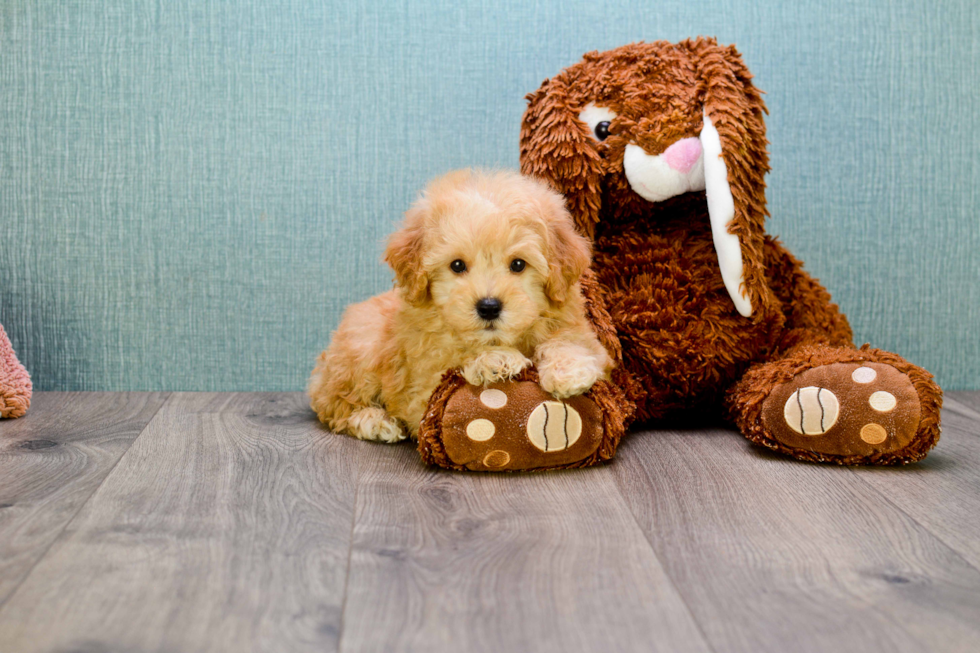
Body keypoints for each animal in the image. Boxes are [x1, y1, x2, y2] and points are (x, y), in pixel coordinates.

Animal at [308, 168, 612, 444]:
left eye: (518, 264)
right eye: (457, 265)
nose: (488, 307)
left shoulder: (583, 333)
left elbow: (572, 342)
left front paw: (569, 370)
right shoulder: (421, 392)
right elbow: (451, 368)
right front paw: (495, 359)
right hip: (361, 349)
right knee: (333, 404)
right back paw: (374, 421)